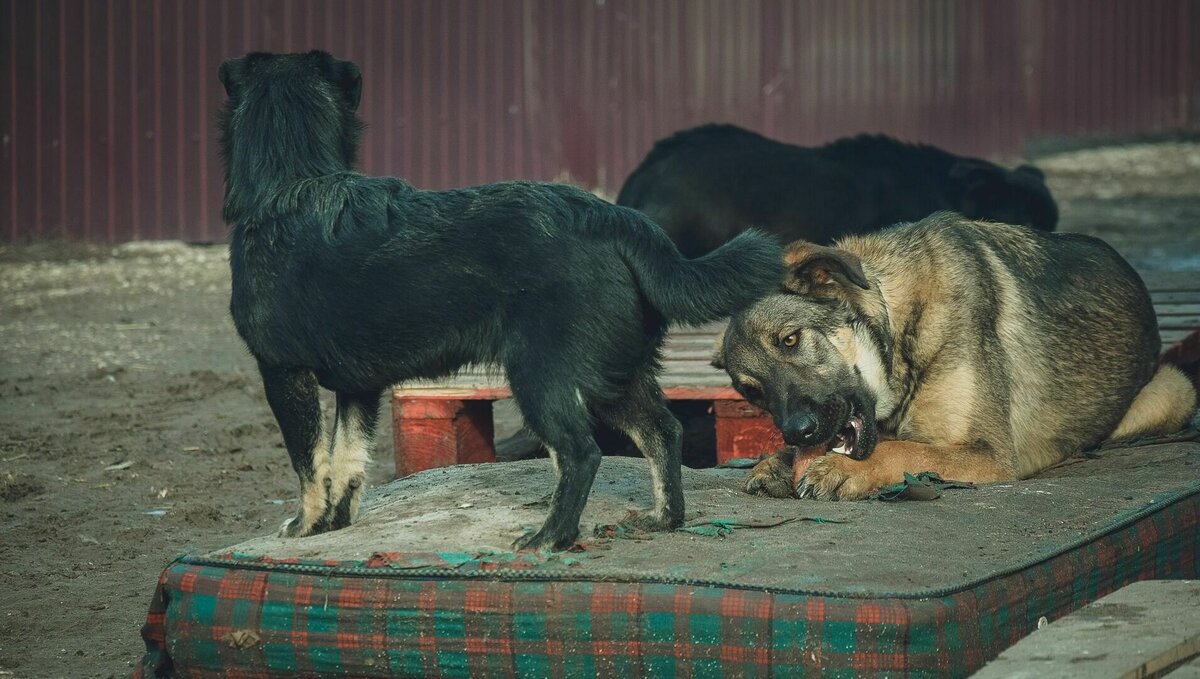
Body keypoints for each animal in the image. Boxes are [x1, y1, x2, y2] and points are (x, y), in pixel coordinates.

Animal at [217, 51, 782, 554]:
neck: (291, 181)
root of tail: (613, 218)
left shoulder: (283, 373)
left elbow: (309, 462)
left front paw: (306, 525)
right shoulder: (358, 388)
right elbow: (346, 461)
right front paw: (334, 525)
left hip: (541, 375)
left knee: (580, 453)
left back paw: (551, 536)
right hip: (614, 375)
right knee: (663, 432)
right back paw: (664, 517)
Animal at [715, 213, 1195, 501]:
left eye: (790, 339)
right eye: (751, 392)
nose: (797, 431)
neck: (899, 325)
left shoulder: (986, 454)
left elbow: (905, 451)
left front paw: (839, 468)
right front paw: (776, 462)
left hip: (1174, 389)